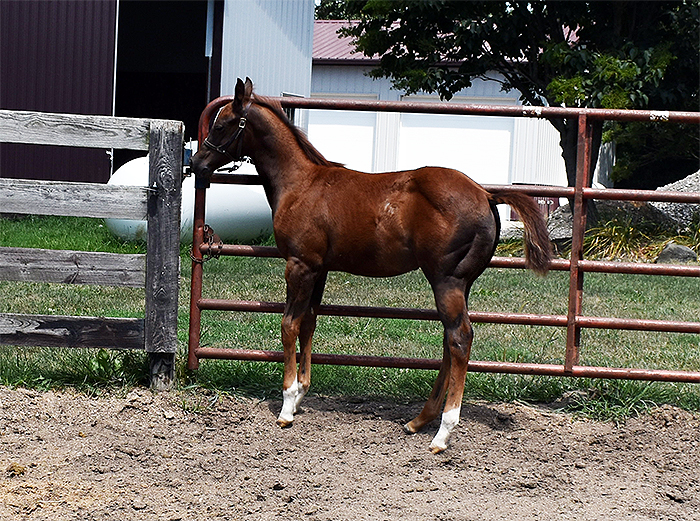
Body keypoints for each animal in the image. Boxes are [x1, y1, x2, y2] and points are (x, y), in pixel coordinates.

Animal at [191, 78, 552, 453]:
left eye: (222, 124)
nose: (196, 164)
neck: (301, 184)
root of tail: (486, 194)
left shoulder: (300, 264)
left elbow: (289, 325)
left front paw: (288, 405)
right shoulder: (320, 268)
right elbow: (309, 323)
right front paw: (302, 392)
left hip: (446, 280)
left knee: (460, 338)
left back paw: (443, 432)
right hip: (462, 283)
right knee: (449, 342)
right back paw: (419, 420)